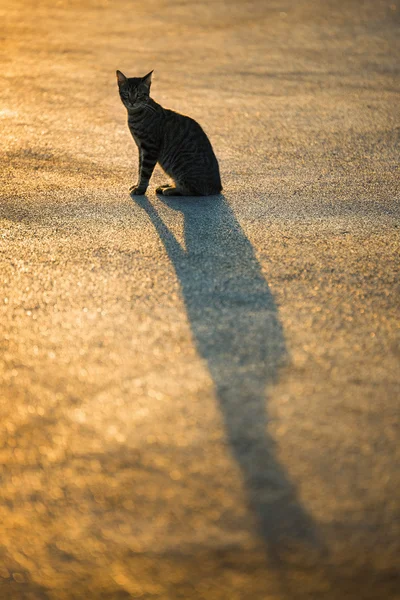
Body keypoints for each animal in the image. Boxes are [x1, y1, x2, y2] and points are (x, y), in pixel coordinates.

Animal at [115, 69, 222, 197]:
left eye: (139, 94)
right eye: (126, 93)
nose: (132, 102)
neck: (135, 115)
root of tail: (218, 187)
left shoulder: (150, 148)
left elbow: (145, 172)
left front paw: (140, 189)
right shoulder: (140, 147)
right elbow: (140, 169)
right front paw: (137, 185)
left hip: (181, 165)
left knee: (192, 190)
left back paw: (170, 189)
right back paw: (167, 186)